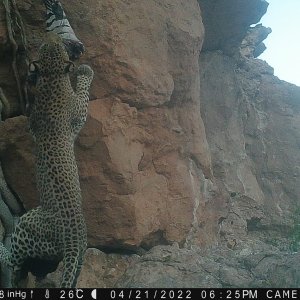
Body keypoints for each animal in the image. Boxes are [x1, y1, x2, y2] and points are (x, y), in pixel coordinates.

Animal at [0, 31, 93, 288]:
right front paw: (85, 71)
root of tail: (72, 242)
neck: (52, 81)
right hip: (32, 226)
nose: (51, 35)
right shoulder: (78, 112)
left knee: (17, 261)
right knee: (13, 260)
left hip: (69, 250)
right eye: (49, 45)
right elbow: (84, 93)